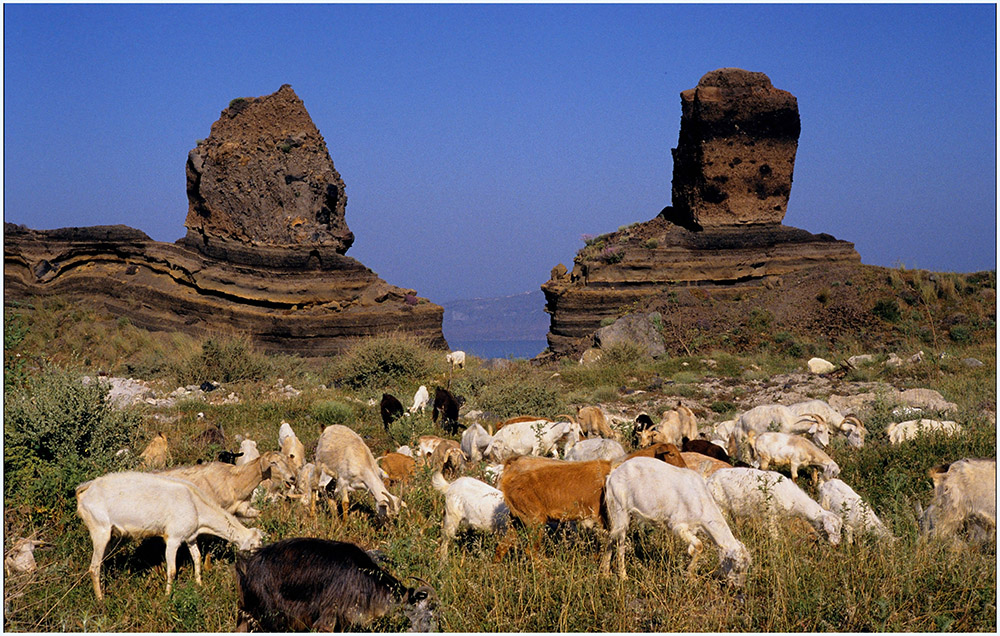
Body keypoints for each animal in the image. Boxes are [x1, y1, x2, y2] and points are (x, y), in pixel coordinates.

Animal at [75, 472, 264, 600]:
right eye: (254, 546)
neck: (196, 506)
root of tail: (85, 491)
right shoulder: (173, 538)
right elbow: (172, 570)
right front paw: (167, 596)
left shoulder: (190, 537)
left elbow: (197, 558)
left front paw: (199, 584)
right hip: (99, 530)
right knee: (94, 567)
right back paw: (101, 600)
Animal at [596, 458, 752, 588]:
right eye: (737, 567)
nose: (738, 587)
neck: (701, 501)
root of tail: (612, 475)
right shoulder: (677, 525)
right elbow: (699, 546)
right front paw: (691, 577)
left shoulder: (693, 528)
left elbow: (695, 548)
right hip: (619, 509)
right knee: (618, 540)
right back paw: (621, 576)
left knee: (613, 537)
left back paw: (607, 573)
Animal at [708, 464, 840, 544]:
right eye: (831, 529)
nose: (836, 544)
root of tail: (710, 479)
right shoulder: (770, 514)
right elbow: (774, 533)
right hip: (720, 505)